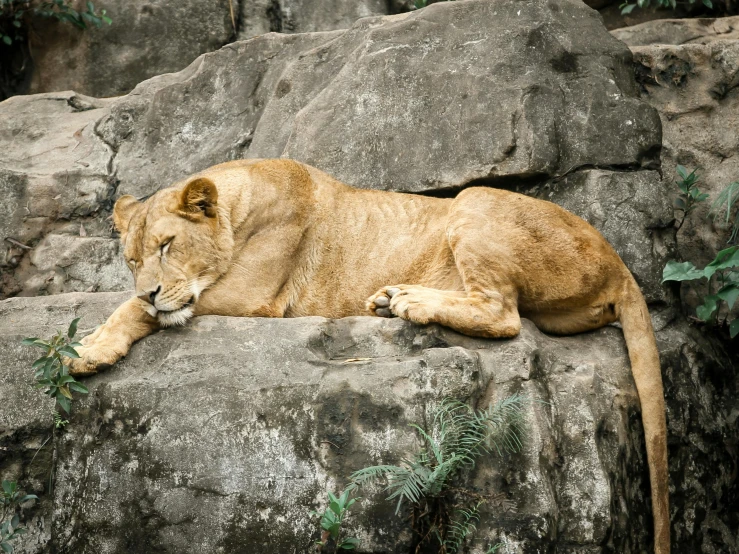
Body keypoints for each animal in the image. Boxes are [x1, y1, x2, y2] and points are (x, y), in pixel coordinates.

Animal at [68, 157, 672, 548]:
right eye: (131, 258)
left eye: (168, 245)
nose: (149, 286)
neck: (242, 201)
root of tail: (620, 262)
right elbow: (136, 305)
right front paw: (103, 330)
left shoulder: (254, 295)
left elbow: (138, 310)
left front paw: (90, 347)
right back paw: (389, 298)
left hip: (474, 201)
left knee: (503, 314)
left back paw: (405, 299)